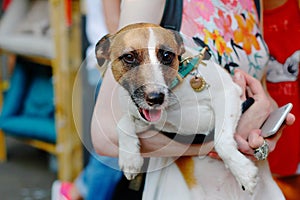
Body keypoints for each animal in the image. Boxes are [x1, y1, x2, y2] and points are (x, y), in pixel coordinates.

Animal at [95, 23, 284, 198]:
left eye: (166, 55)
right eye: (129, 57)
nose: (156, 98)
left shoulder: (229, 94)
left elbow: (222, 141)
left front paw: (243, 172)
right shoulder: (149, 122)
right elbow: (122, 124)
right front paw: (129, 158)